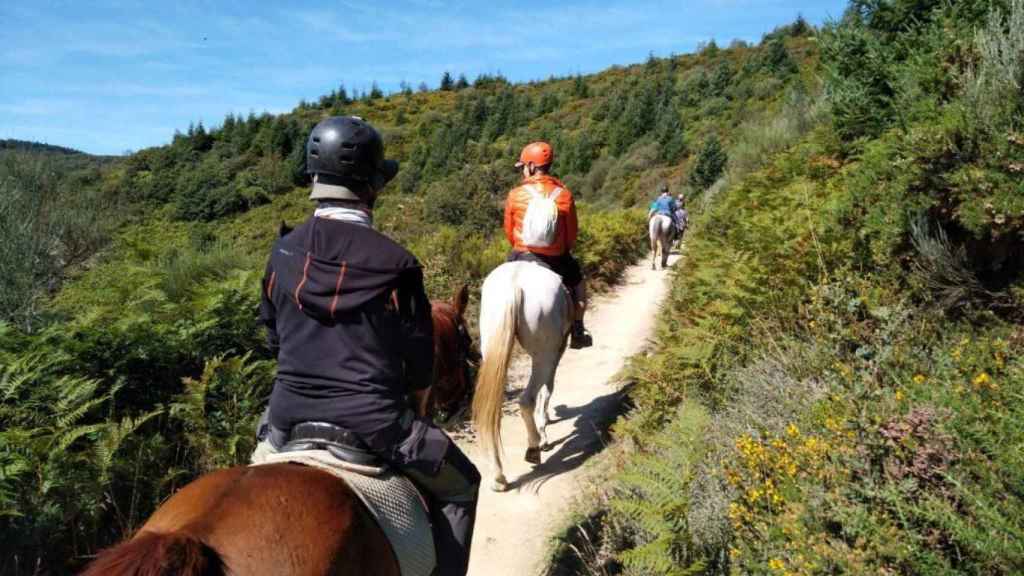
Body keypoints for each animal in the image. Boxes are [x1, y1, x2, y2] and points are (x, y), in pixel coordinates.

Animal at [473, 260, 577, 487]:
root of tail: (514, 283)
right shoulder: (557, 351)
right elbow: (547, 389)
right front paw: (544, 429)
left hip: (492, 347)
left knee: (491, 411)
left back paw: (499, 477)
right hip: (544, 356)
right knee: (526, 399)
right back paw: (534, 448)